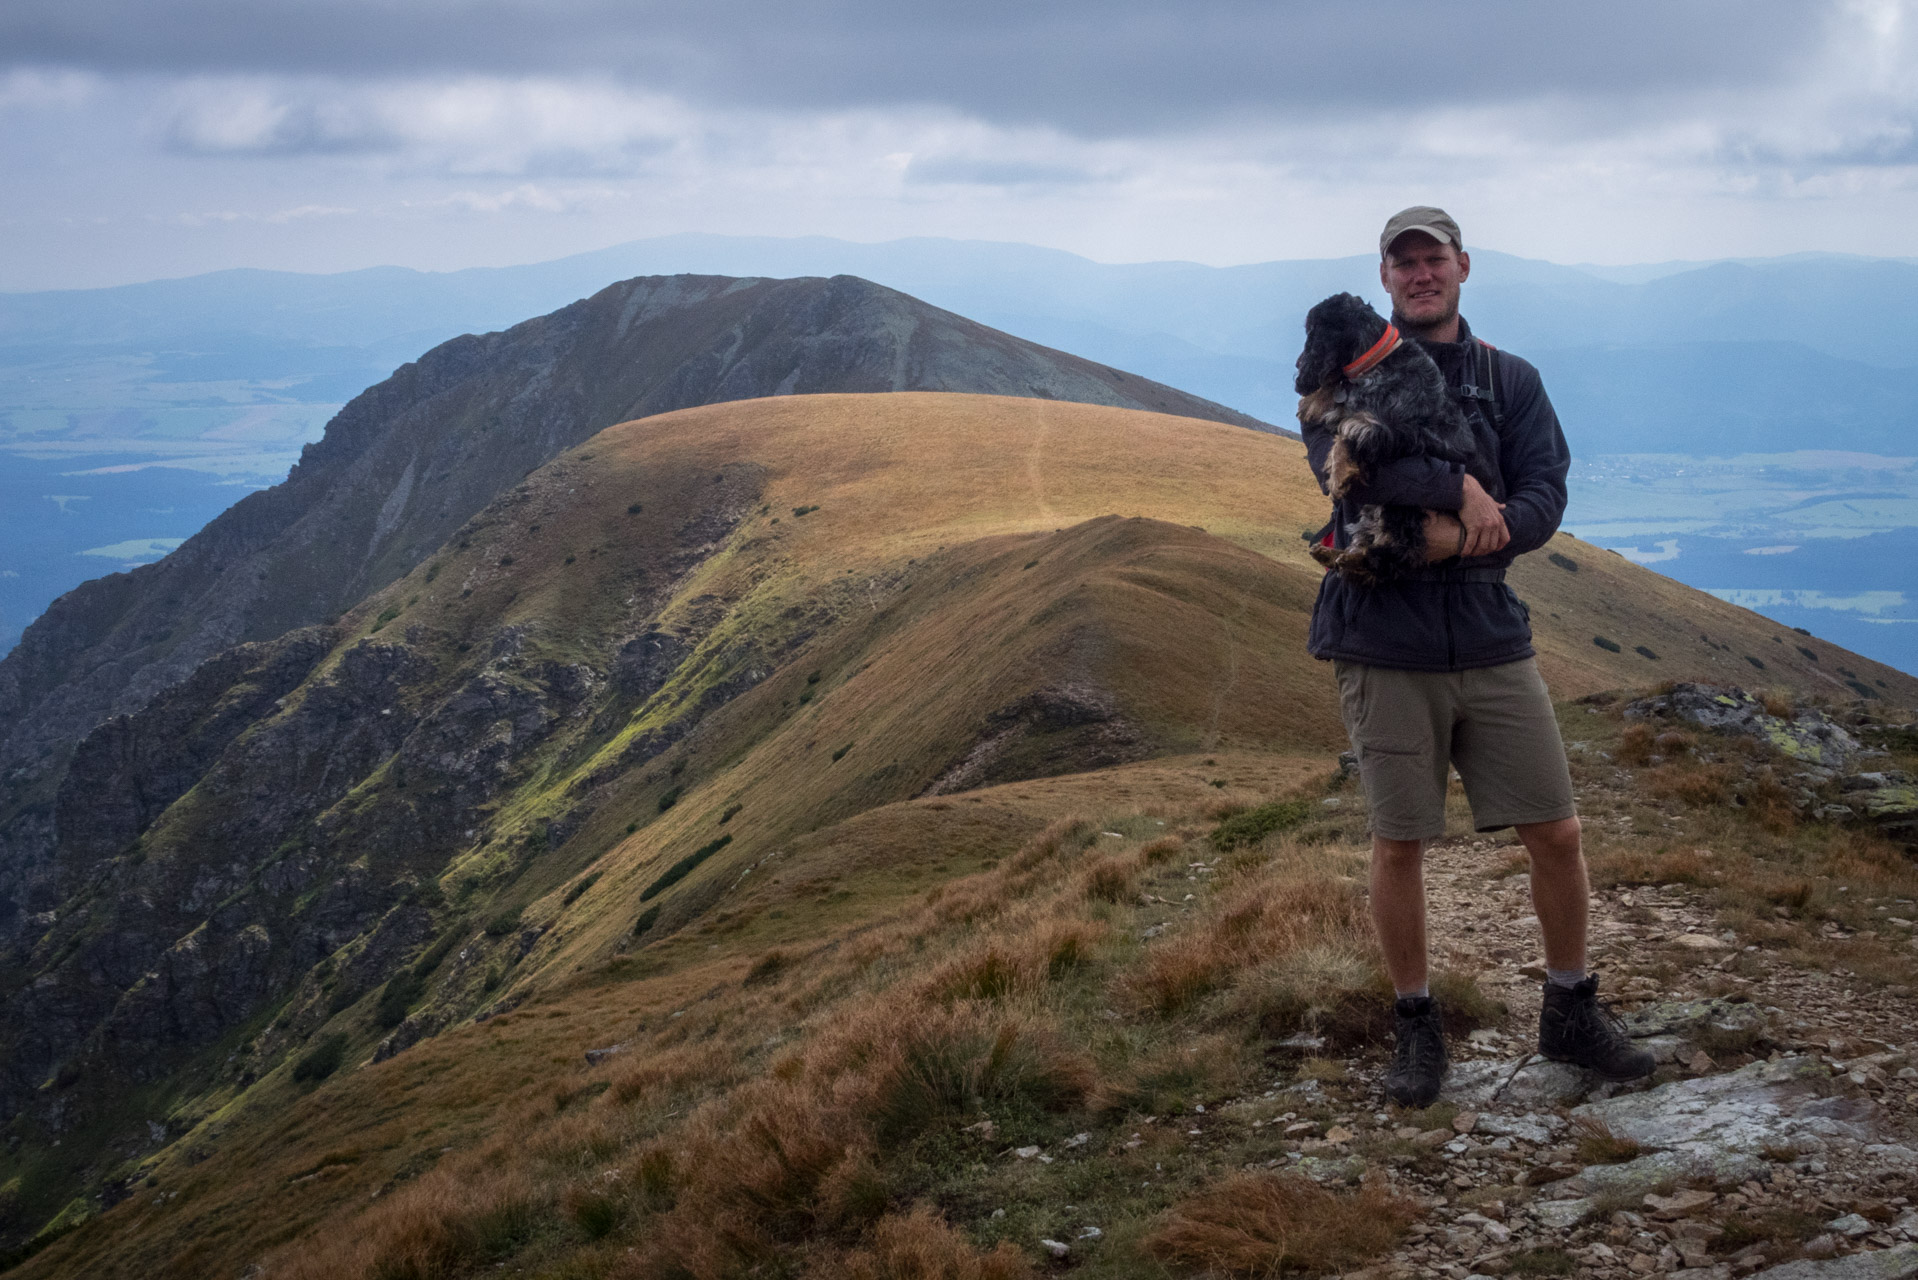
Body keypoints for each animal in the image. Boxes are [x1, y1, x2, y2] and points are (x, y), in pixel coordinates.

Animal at [1296, 293, 1473, 587]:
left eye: (1311, 332)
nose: (1299, 367)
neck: (1376, 361)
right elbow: (1339, 411)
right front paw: (1311, 404)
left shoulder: (1395, 431)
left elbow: (1349, 430)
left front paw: (1339, 476)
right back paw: (1332, 554)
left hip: (1401, 509)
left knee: (1395, 554)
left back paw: (1353, 560)